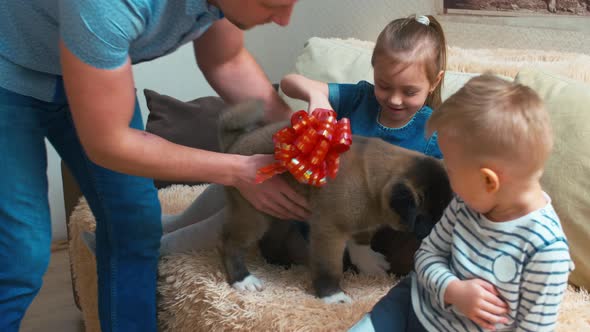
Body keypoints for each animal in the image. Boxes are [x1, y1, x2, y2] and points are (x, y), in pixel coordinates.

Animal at [219, 102, 454, 304]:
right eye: (431, 216)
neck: (373, 183)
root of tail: (236, 142)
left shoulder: (363, 221)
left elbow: (361, 240)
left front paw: (366, 260)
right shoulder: (328, 233)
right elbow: (329, 268)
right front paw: (332, 295)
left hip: (278, 214)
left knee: (269, 240)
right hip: (253, 216)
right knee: (230, 244)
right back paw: (242, 279)